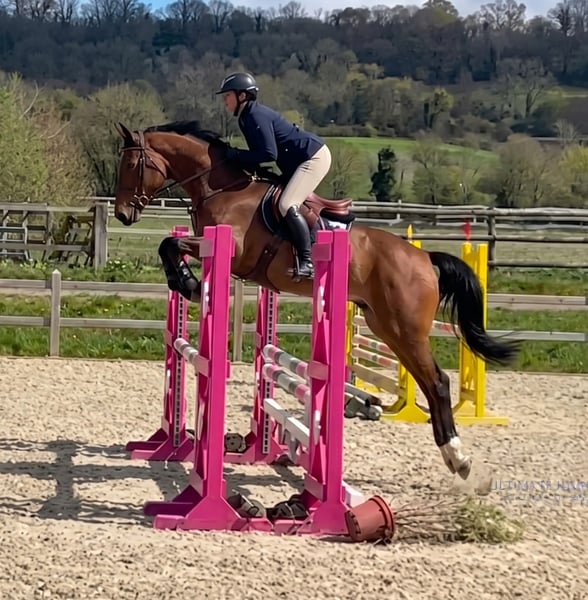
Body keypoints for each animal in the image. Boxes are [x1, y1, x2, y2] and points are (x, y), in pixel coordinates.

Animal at [113, 119, 520, 482]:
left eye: (131, 165)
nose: (123, 214)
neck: (222, 187)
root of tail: (423, 257)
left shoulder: (230, 250)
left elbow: (170, 243)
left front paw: (188, 283)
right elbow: (168, 244)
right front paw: (184, 281)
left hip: (406, 329)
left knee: (437, 382)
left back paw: (459, 458)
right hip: (387, 328)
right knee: (426, 381)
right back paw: (450, 454)